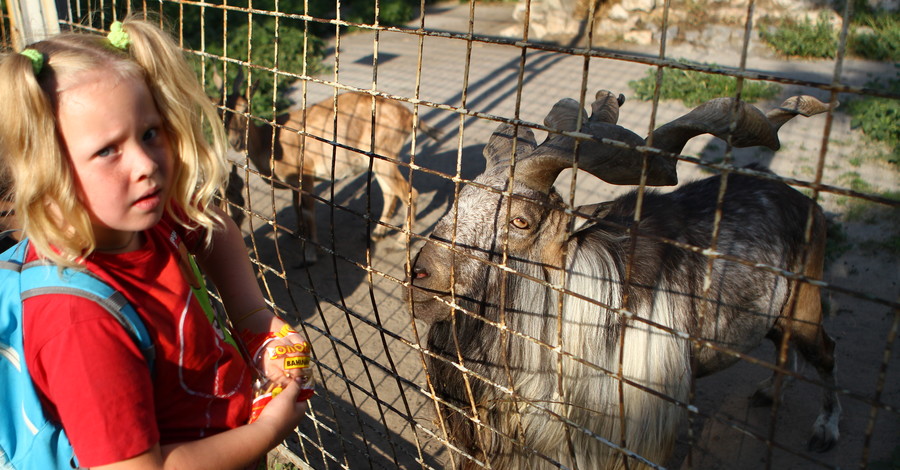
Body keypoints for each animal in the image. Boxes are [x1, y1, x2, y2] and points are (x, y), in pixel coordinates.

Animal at [218, 71, 442, 266]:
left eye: (244, 108)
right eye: (221, 111)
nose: (235, 142)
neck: (270, 141)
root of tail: (408, 116)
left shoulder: (306, 176)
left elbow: (308, 211)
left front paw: (310, 254)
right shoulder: (295, 183)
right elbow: (296, 206)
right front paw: (297, 234)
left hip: (385, 158)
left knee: (408, 192)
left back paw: (398, 243)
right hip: (380, 163)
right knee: (390, 192)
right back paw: (376, 234)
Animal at [410, 90, 844, 468]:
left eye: (521, 221)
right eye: (459, 199)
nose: (421, 274)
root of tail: (796, 197)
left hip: (804, 303)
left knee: (824, 351)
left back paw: (826, 429)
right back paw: (769, 392)